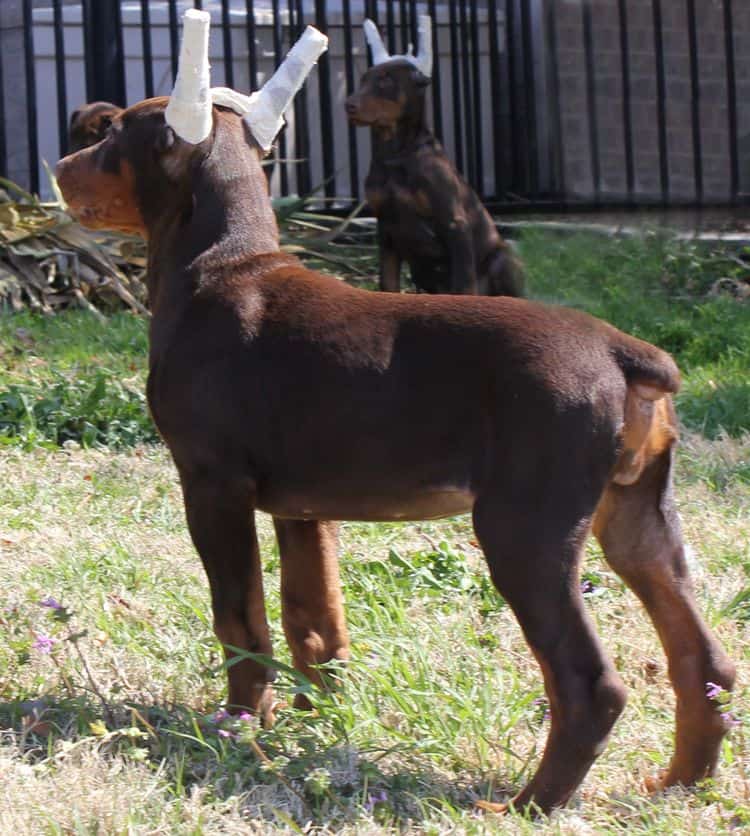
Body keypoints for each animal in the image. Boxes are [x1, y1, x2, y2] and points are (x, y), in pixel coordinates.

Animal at [346, 16, 524, 298]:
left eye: (386, 81)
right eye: (364, 79)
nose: (348, 105)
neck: (395, 156)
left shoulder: (455, 224)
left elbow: (464, 287)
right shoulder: (385, 229)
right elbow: (388, 285)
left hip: (503, 259)